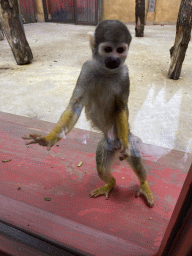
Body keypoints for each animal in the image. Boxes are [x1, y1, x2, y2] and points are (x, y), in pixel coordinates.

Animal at [22, 20, 154, 208]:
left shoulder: (124, 74)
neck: (106, 71)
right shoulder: (86, 68)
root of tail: (114, 144)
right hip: (105, 145)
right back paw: (111, 183)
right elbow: (75, 105)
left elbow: (121, 107)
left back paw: (143, 183)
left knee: (134, 158)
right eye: (108, 49)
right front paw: (47, 139)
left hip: (127, 139)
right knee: (101, 167)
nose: (115, 59)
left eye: (120, 50)